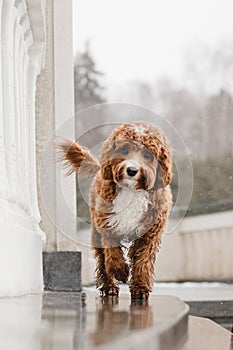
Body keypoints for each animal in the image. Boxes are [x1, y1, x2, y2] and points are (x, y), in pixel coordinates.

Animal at [59, 121, 172, 300]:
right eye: (124, 150)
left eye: (148, 155)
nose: (132, 170)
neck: (131, 192)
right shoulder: (106, 225)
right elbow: (111, 252)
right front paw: (121, 271)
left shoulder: (149, 233)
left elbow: (143, 260)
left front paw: (140, 287)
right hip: (95, 232)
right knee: (102, 261)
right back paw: (109, 287)